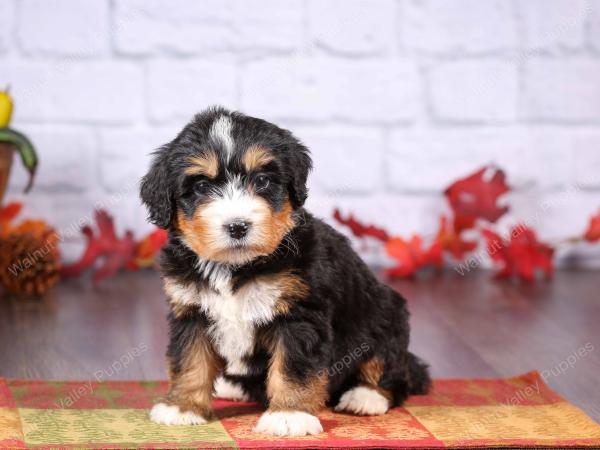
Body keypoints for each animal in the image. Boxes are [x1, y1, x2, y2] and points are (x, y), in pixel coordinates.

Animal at [141, 106, 432, 436]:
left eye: (263, 181)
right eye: (201, 186)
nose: (237, 226)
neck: (235, 267)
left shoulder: (298, 315)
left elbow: (293, 368)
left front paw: (290, 414)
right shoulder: (191, 310)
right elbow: (189, 360)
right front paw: (183, 406)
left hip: (385, 316)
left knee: (391, 367)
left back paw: (365, 396)